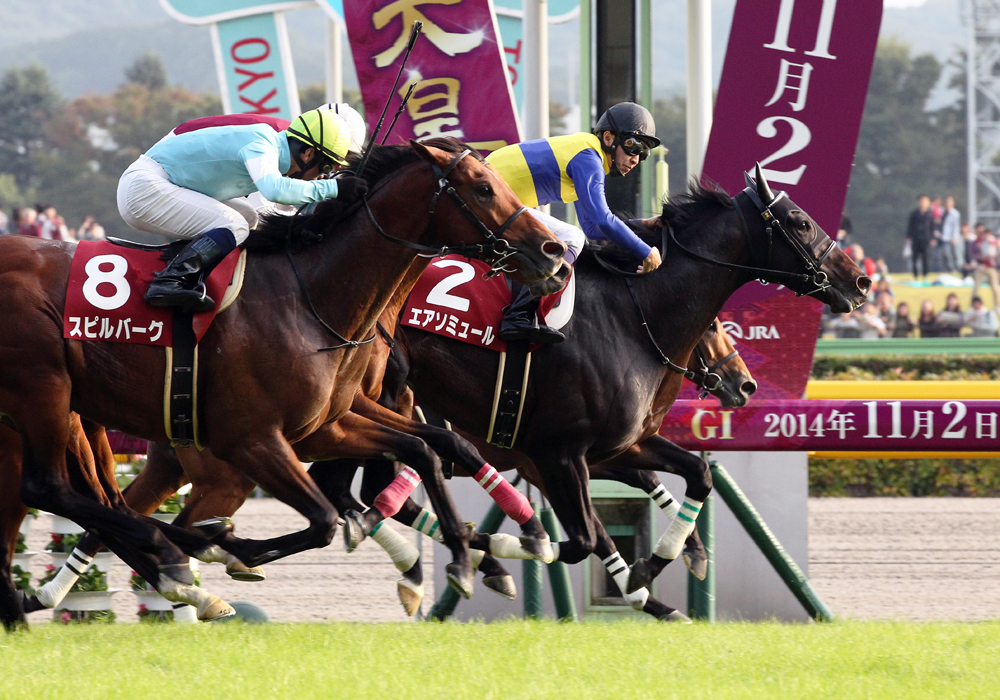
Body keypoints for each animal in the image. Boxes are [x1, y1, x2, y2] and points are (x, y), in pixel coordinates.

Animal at [0, 139, 568, 620]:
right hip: (46, 390)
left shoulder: (327, 426)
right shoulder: (251, 439)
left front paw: (476, 556)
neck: (307, 296)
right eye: (483, 187)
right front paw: (227, 548)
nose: (553, 252)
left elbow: (428, 449)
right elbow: (323, 518)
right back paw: (172, 560)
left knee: (90, 502)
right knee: (54, 489)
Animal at [346, 172, 868, 620]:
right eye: (800, 222)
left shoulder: (615, 445)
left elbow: (693, 474)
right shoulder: (554, 454)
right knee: (380, 488)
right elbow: (582, 540)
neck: (632, 317)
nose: (860, 281)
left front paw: (661, 565)